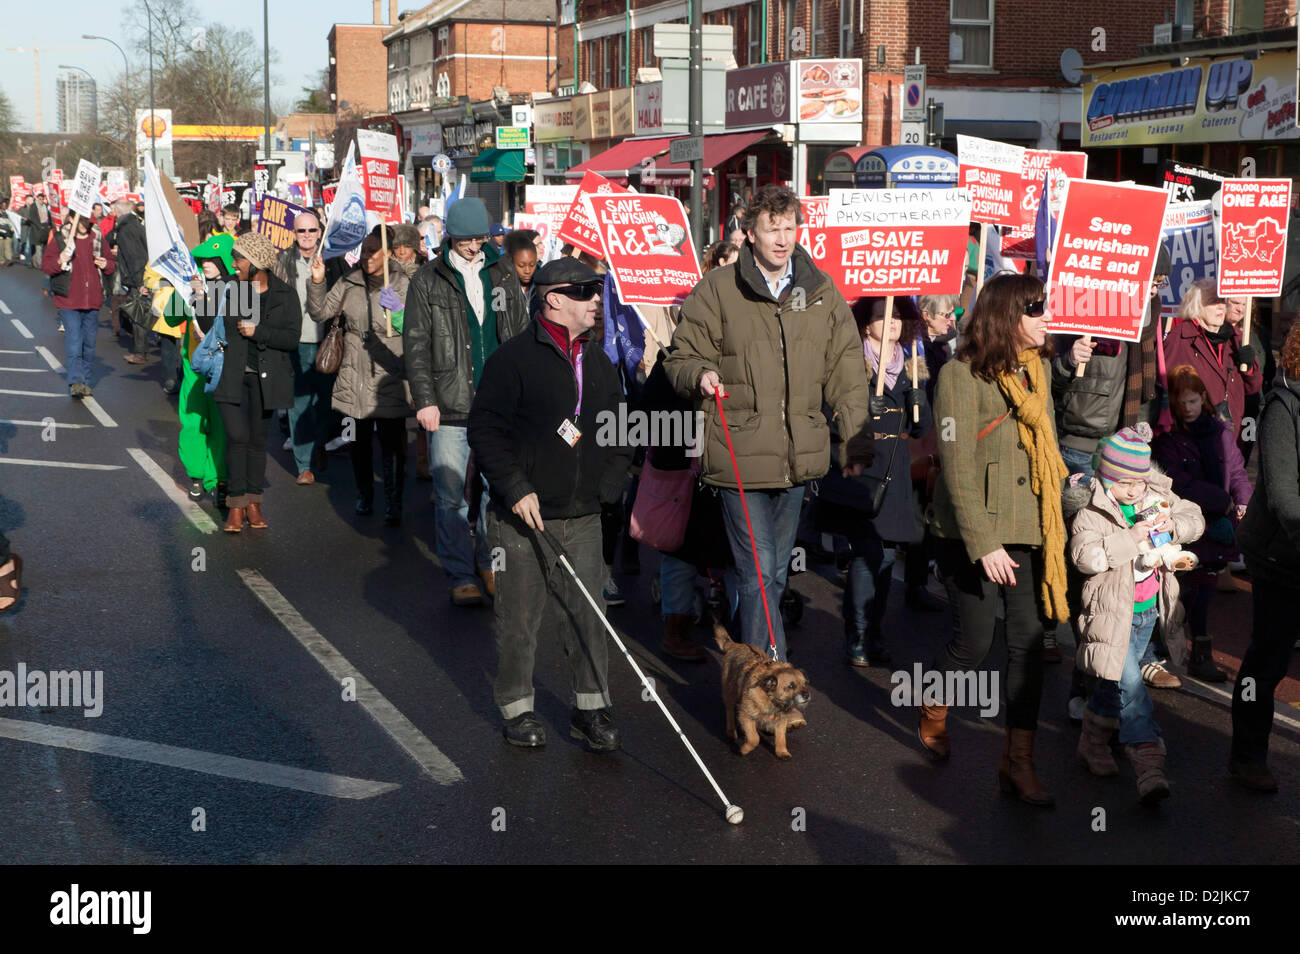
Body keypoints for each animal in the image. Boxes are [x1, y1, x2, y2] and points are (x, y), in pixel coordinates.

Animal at [712, 621, 811, 764]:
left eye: (805, 683)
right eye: (791, 686)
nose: (806, 694)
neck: (771, 699)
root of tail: (734, 645)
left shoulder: (781, 721)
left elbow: (781, 738)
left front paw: (782, 752)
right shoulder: (746, 716)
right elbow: (754, 738)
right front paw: (745, 749)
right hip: (729, 692)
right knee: (729, 711)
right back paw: (731, 731)